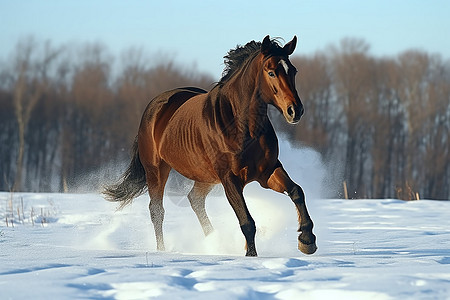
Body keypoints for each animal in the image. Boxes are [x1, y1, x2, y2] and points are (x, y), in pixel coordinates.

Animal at [104, 35, 318, 255]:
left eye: (293, 71)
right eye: (272, 72)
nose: (295, 110)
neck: (242, 126)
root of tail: (154, 106)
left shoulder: (267, 171)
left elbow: (297, 192)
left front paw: (307, 240)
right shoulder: (230, 178)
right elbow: (247, 222)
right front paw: (251, 256)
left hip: (204, 176)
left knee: (195, 199)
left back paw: (213, 241)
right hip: (156, 170)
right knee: (157, 211)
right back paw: (163, 250)